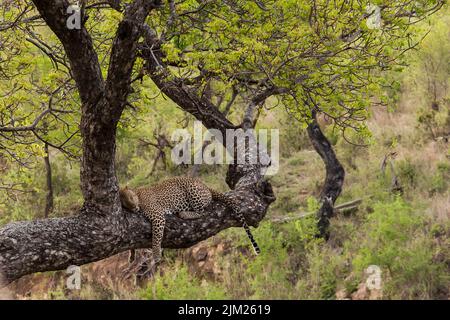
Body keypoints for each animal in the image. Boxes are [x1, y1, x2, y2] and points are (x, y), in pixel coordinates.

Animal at [119, 176, 260, 264]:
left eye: (130, 198)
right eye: (125, 205)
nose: (134, 208)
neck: (138, 194)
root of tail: (206, 186)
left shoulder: (158, 216)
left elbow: (156, 238)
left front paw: (156, 255)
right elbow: (133, 240)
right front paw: (131, 256)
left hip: (192, 189)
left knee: (203, 212)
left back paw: (183, 214)